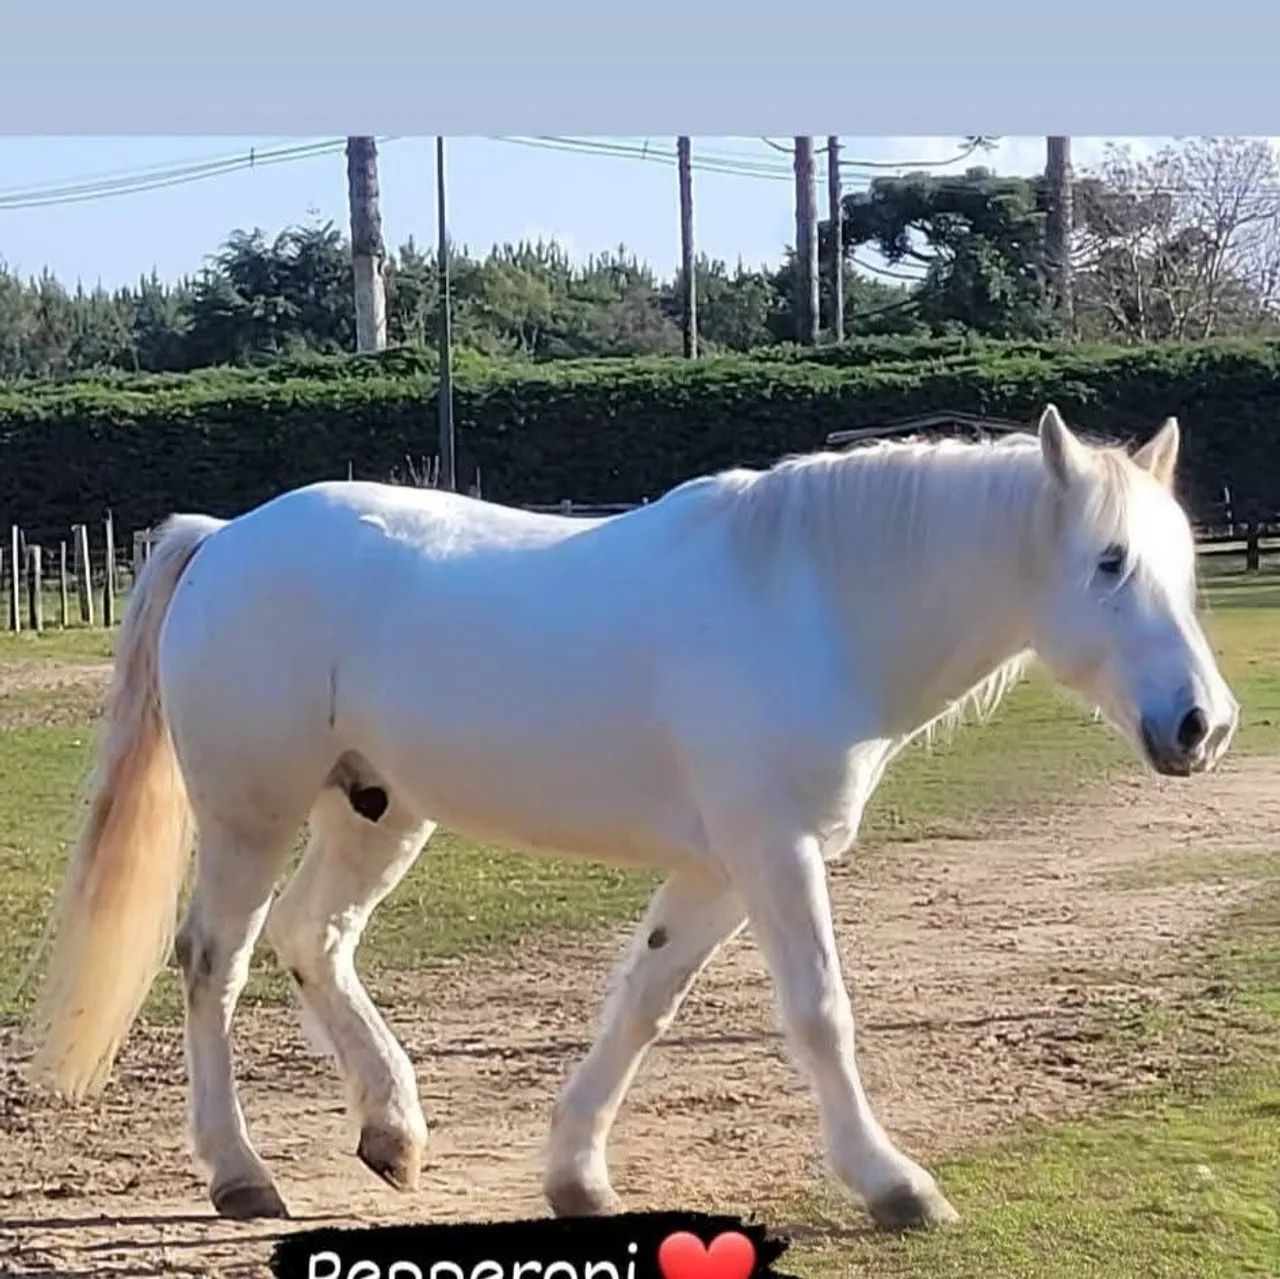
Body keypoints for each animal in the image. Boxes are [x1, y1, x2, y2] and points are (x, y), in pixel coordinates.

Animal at [29, 405, 1238, 1232]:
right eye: (1108, 561)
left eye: (1180, 562)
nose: (1203, 724)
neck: (807, 601)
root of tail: (226, 534)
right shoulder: (774, 854)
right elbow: (819, 1014)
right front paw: (892, 1183)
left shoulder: (718, 872)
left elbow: (643, 1005)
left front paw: (576, 1174)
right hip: (252, 816)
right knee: (214, 962)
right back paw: (241, 1172)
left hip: (375, 812)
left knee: (312, 939)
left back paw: (393, 1132)